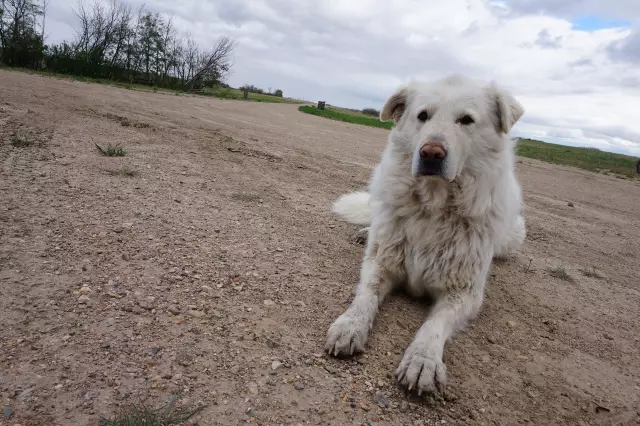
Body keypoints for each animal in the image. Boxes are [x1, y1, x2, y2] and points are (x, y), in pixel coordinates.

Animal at [324, 74, 524, 396]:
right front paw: (349, 326)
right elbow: (365, 298)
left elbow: (433, 326)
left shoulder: (464, 294)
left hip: (515, 233)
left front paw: (422, 360)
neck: (433, 206)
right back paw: (365, 231)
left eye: (466, 120)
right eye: (423, 116)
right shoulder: (379, 264)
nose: (431, 153)